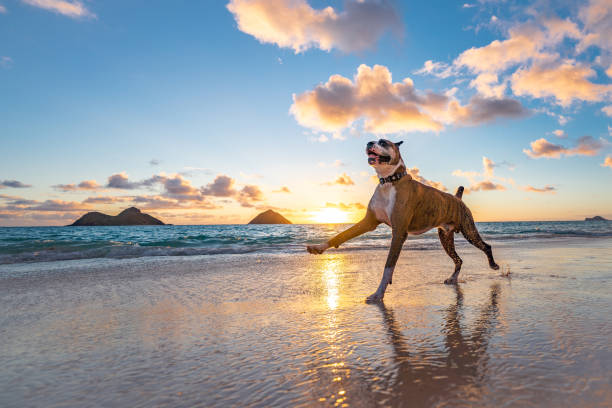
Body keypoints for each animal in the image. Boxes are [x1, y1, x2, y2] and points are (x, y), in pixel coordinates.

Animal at [306, 140, 498, 302]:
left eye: (383, 142)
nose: (369, 142)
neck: (388, 182)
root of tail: (457, 198)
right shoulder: (368, 222)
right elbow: (342, 235)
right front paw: (318, 247)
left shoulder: (398, 233)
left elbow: (388, 266)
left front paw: (378, 294)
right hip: (446, 238)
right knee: (459, 260)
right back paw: (452, 278)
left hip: (469, 231)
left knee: (485, 246)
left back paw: (494, 266)